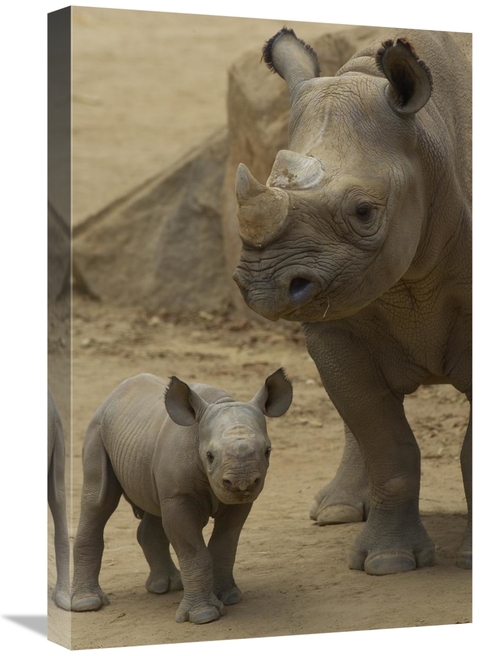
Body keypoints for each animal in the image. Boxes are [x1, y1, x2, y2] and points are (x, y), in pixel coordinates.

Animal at [71, 369, 292, 623]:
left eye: (268, 451)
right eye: (209, 455)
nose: (241, 482)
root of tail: (110, 397)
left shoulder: (239, 503)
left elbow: (225, 543)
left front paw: (228, 597)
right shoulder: (179, 497)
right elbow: (193, 551)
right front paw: (204, 615)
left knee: (153, 508)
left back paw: (167, 586)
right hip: (97, 430)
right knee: (99, 501)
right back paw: (87, 604)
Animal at [233, 28, 471, 576]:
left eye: (364, 212)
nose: (263, 286)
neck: (427, 137)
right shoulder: (336, 318)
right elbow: (384, 439)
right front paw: (388, 562)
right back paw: (337, 511)